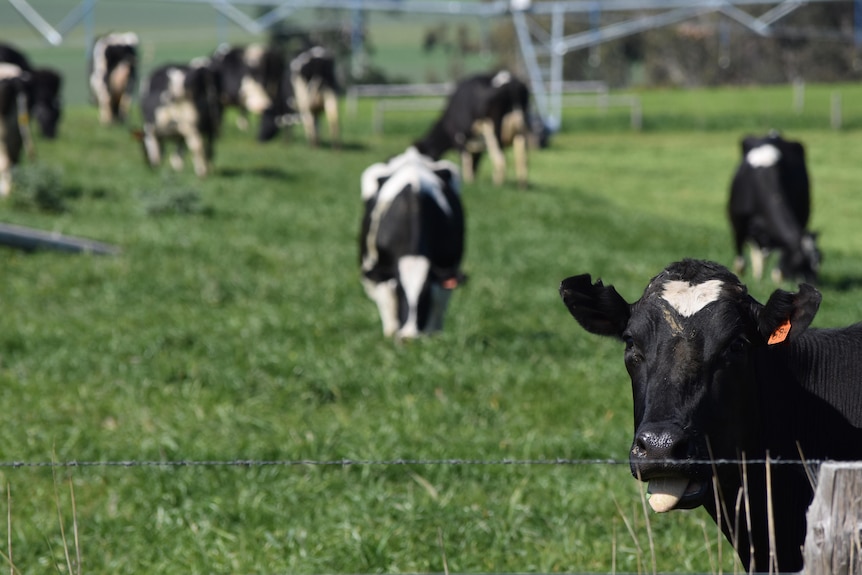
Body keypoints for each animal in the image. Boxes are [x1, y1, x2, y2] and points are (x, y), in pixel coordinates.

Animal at [360, 146, 466, 340]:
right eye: (399, 290)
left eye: (425, 294)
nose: (409, 337)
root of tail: (412, 156)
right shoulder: (381, 272)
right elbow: (388, 306)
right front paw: (392, 335)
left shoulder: (445, 269)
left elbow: (438, 303)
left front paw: (432, 337)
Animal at [732, 131, 820, 284]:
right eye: (800, 262)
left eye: (820, 260)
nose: (813, 284)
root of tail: (773, 133)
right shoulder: (737, 223)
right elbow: (740, 264)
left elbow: (778, 270)